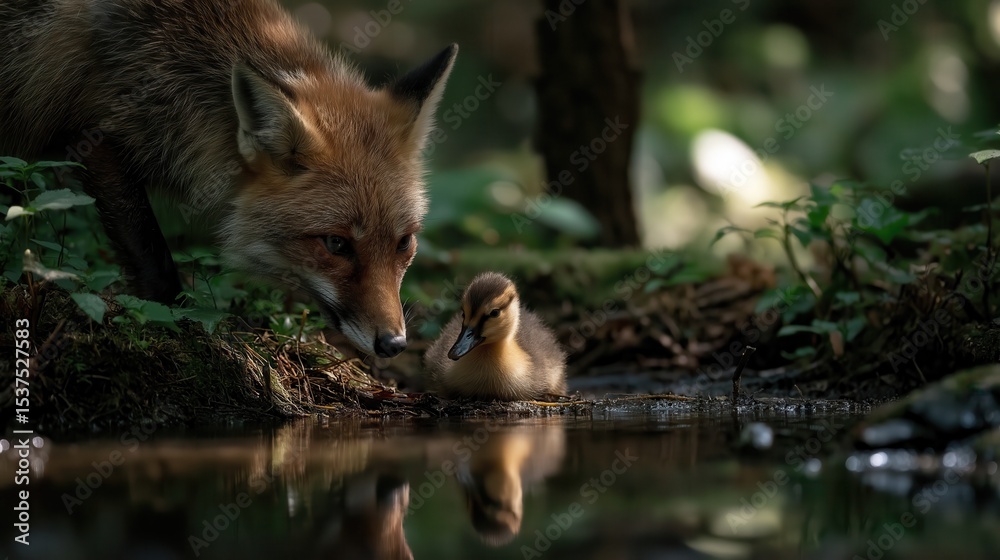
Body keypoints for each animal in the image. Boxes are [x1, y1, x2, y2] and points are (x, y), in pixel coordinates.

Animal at [0, 0, 457, 358]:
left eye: (404, 242)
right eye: (336, 244)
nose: (394, 345)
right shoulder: (93, 136)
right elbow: (155, 261)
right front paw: (173, 325)